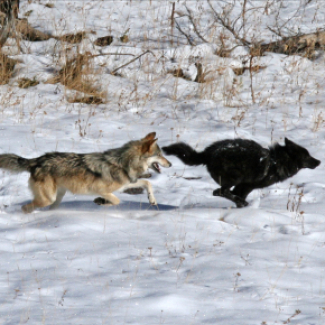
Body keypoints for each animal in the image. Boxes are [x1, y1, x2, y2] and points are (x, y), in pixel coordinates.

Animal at [0, 132, 171, 213]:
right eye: (160, 154)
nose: (170, 163)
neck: (124, 163)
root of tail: (37, 160)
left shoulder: (127, 184)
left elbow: (147, 182)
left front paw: (152, 200)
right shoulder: (100, 189)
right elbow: (117, 201)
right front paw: (101, 202)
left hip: (56, 198)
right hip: (48, 199)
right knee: (25, 208)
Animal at [163, 138, 320, 206]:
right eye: (307, 156)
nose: (319, 162)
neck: (277, 161)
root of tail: (207, 153)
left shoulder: (243, 187)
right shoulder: (247, 185)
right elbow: (236, 196)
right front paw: (242, 204)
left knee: (221, 192)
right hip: (235, 178)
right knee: (218, 192)